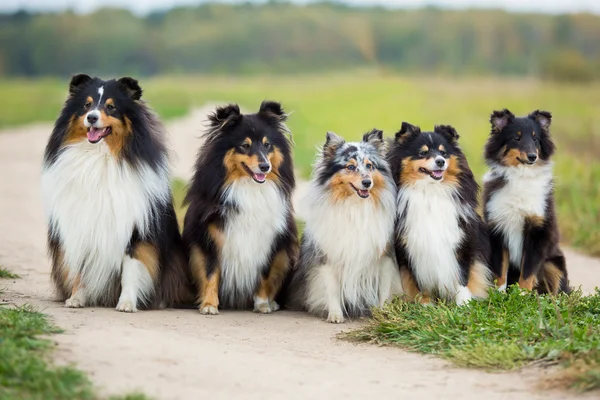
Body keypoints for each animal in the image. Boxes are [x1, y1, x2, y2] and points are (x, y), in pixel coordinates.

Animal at [42, 75, 191, 312]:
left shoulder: (134, 229)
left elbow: (131, 269)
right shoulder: (80, 225)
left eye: (111, 107)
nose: (92, 118)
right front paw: (76, 298)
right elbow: (81, 269)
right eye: (86, 105)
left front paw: (127, 303)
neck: (99, 156)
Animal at [182, 101, 296, 314]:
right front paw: (209, 305)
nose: (265, 167)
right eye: (245, 145)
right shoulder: (208, 236)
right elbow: (210, 272)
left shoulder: (269, 239)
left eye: (267, 144)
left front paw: (262, 304)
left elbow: (265, 274)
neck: (248, 187)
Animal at [284, 130, 400, 324]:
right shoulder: (328, 255)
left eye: (370, 165)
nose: (367, 182)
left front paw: (384, 313)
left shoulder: (385, 256)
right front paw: (335, 315)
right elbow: (331, 288)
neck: (355, 206)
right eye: (350, 167)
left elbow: (384, 289)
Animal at [390, 123, 492, 304]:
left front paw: (464, 304)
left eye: (443, 153)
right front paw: (425, 304)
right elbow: (419, 281)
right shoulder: (410, 247)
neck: (430, 191)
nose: (440, 161)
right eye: (422, 153)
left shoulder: (462, 240)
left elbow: (462, 275)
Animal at [482, 109, 568, 294]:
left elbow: (528, 269)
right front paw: (499, 294)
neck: (521, 175)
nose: (532, 157)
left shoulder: (537, 231)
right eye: (516, 137)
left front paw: (522, 294)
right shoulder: (498, 229)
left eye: (535, 138)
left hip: (554, 263)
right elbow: (500, 268)